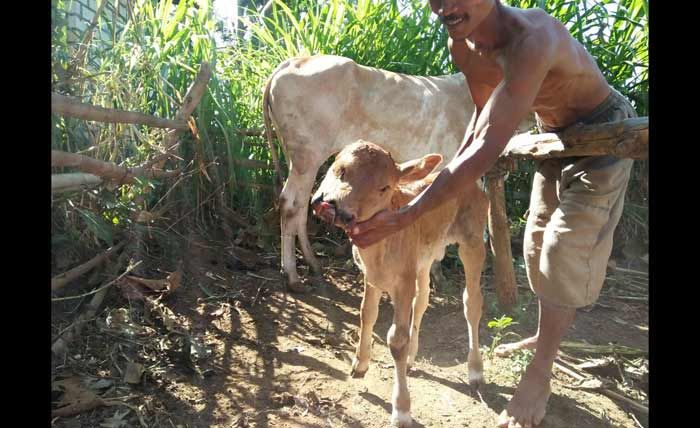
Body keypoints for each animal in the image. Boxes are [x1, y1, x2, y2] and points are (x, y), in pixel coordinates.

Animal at [312, 141, 486, 428]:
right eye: (340, 169)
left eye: (384, 187)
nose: (334, 207)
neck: (376, 252)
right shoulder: (371, 276)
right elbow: (367, 314)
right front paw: (360, 364)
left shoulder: (403, 281)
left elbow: (396, 339)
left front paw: (402, 409)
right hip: (424, 258)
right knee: (422, 300)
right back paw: (412, 359)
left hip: (472, 240)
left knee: (472, 303)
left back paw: (475, 371)